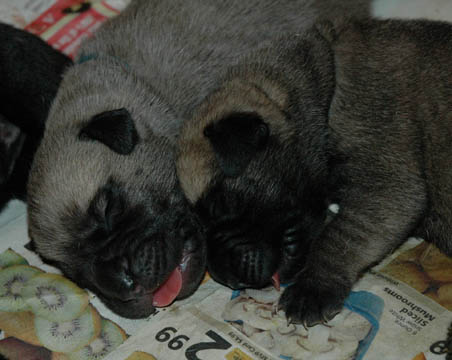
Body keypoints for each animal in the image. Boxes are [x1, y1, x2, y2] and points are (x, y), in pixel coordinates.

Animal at [177, 18, 452, 324]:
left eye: (222, 204)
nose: (227, 279)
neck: (327, 88)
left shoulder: (385, 183)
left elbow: (339, 236)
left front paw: (313, 287)